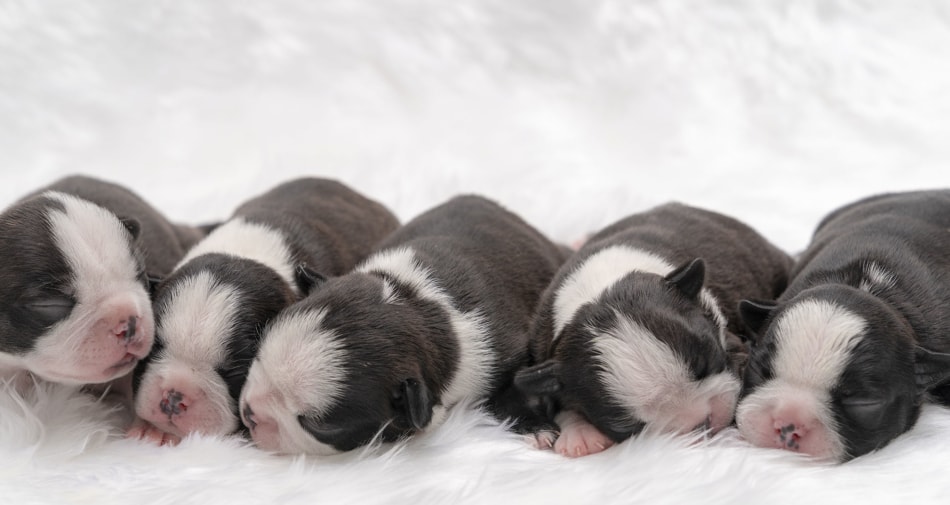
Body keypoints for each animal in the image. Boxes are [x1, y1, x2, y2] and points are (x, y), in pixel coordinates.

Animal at [240, 195, 564, 454]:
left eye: (318, 426)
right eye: (258, 357)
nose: (250, 413)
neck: (413, 302)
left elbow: (514, 389)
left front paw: (538, 427)